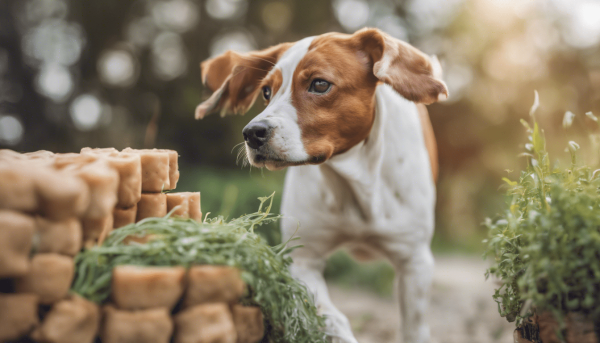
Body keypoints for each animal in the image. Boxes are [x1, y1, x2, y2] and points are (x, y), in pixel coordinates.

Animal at [195, 28, 448, 343]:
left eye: (319, 84)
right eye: (266, 91)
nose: (252, 133)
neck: (354, 183)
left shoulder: (415, 262)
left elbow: (414, 329)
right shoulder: (303, 260)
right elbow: (333, 319)